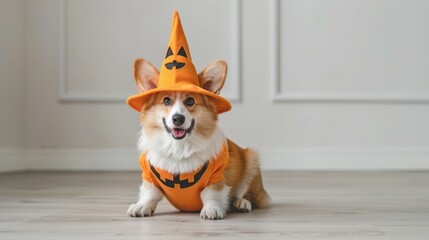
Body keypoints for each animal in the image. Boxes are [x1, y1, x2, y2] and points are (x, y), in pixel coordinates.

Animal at [125, 58, 270, 219]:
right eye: (166, 100)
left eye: (190, 101)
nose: (178, 119)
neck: (178, 148)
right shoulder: (148, 175)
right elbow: (150, 193)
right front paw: (142, 206)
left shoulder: (217, 176)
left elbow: (211, 195)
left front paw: (211, 209)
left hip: (252, 162)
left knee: (248, 195)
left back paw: (242, 203)